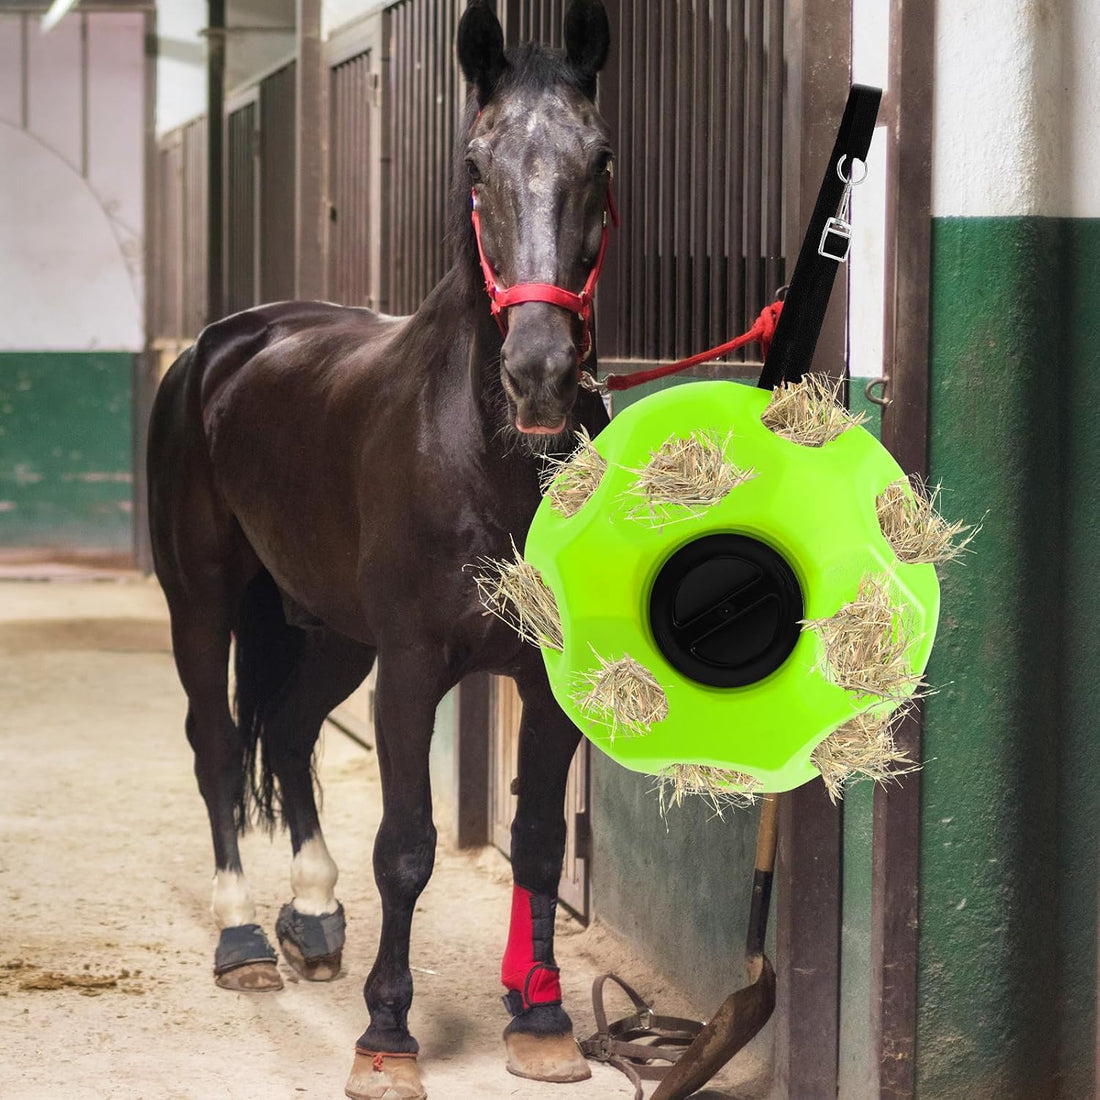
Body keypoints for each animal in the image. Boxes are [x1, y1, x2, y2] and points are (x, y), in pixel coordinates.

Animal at [146, 2, 615, 1097]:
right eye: (476, 165)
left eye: (599, 160)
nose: (539, 372)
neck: (487, 457)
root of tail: (218, 347)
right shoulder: (409, 668)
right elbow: (406, 847)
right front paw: (387, 1035)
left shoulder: (543, 678)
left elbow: (536, 842)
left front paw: (542, 1019)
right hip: (204, 602)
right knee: (218, 742)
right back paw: (242, 938)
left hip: (327, 630)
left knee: (288, 733)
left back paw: (313, 914)